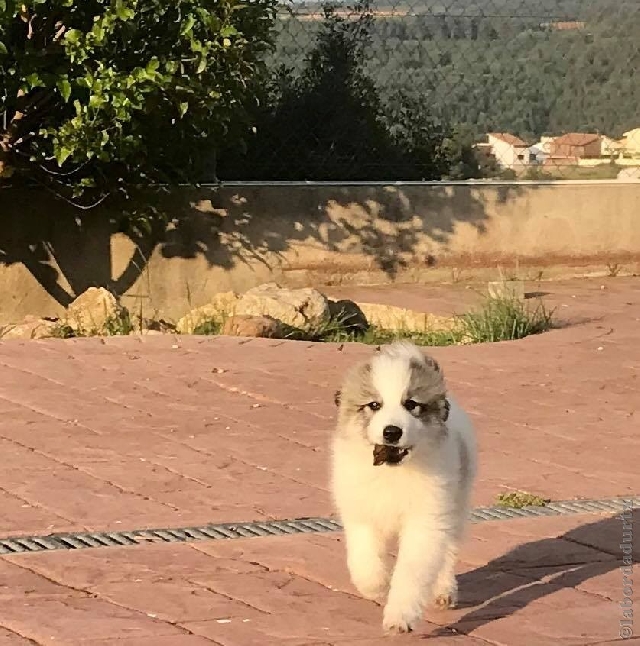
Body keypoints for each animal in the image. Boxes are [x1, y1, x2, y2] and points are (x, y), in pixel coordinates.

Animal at [330, 342, 476, 636]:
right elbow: (365, 560)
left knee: (448, 550)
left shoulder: (425, 523)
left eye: (411, 404)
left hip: (455, 506)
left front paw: (400, 617)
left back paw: (444, 591)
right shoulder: (361, 514)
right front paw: (376, 586)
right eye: (374, 405)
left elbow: (411, 574)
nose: (392, 432)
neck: (392, 470)